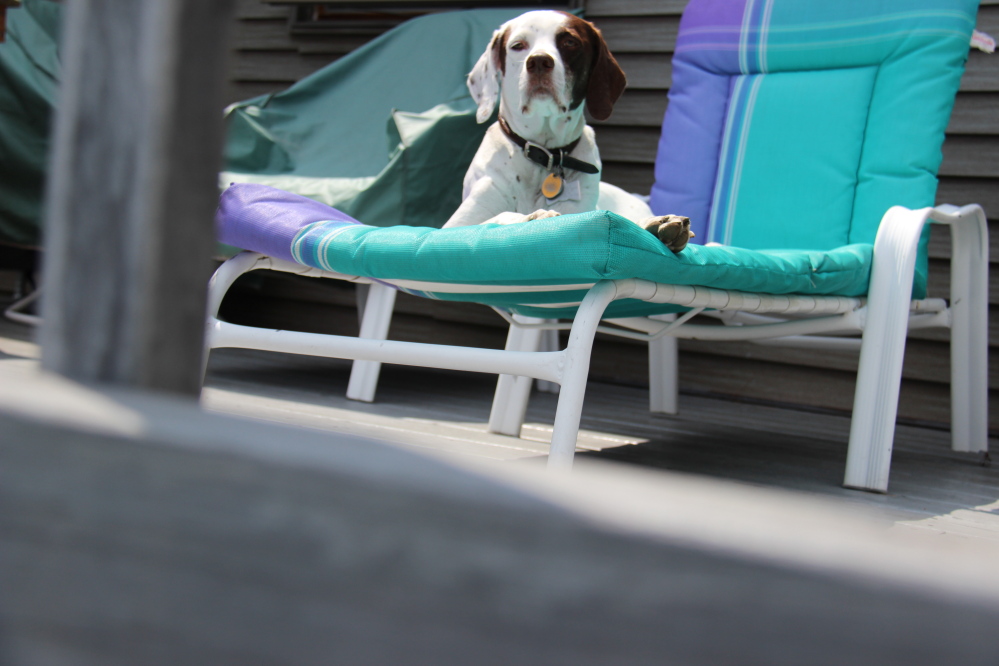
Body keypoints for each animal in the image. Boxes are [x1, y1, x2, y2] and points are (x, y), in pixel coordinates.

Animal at [448, 9, 696, 253]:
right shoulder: (452, 226)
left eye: (570, 42)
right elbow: (495, 218)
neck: (544, 155)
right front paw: (533, 218)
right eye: (518, 45)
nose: (539, 61)